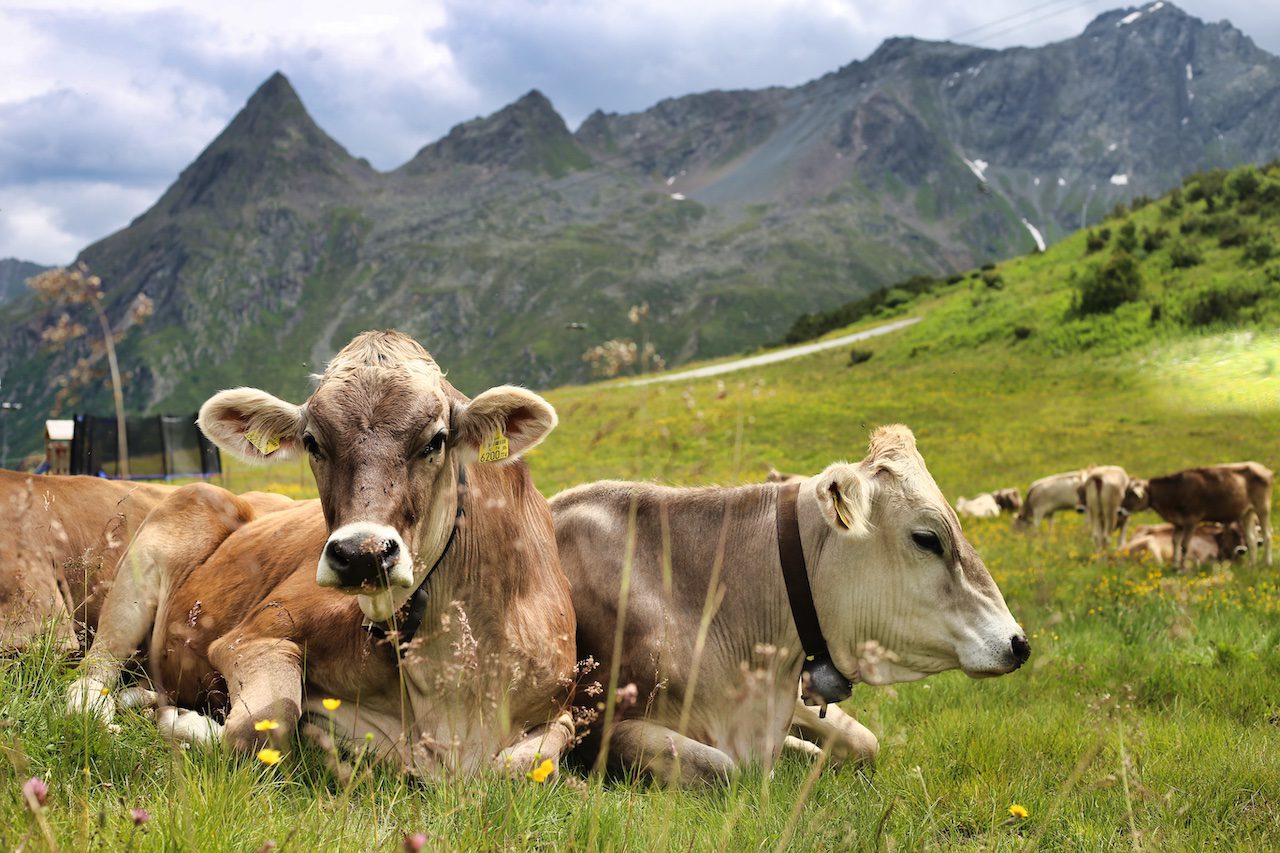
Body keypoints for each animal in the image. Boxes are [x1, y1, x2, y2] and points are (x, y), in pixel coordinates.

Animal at [64, 330, 576, 778]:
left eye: (436, 440)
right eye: (312, 442)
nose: (363, 554)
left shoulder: (562, 709)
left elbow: (526, 763)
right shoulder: (253, 633)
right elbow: (263, 724)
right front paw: (185, 720)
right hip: (143, 570)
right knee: (90, 678)